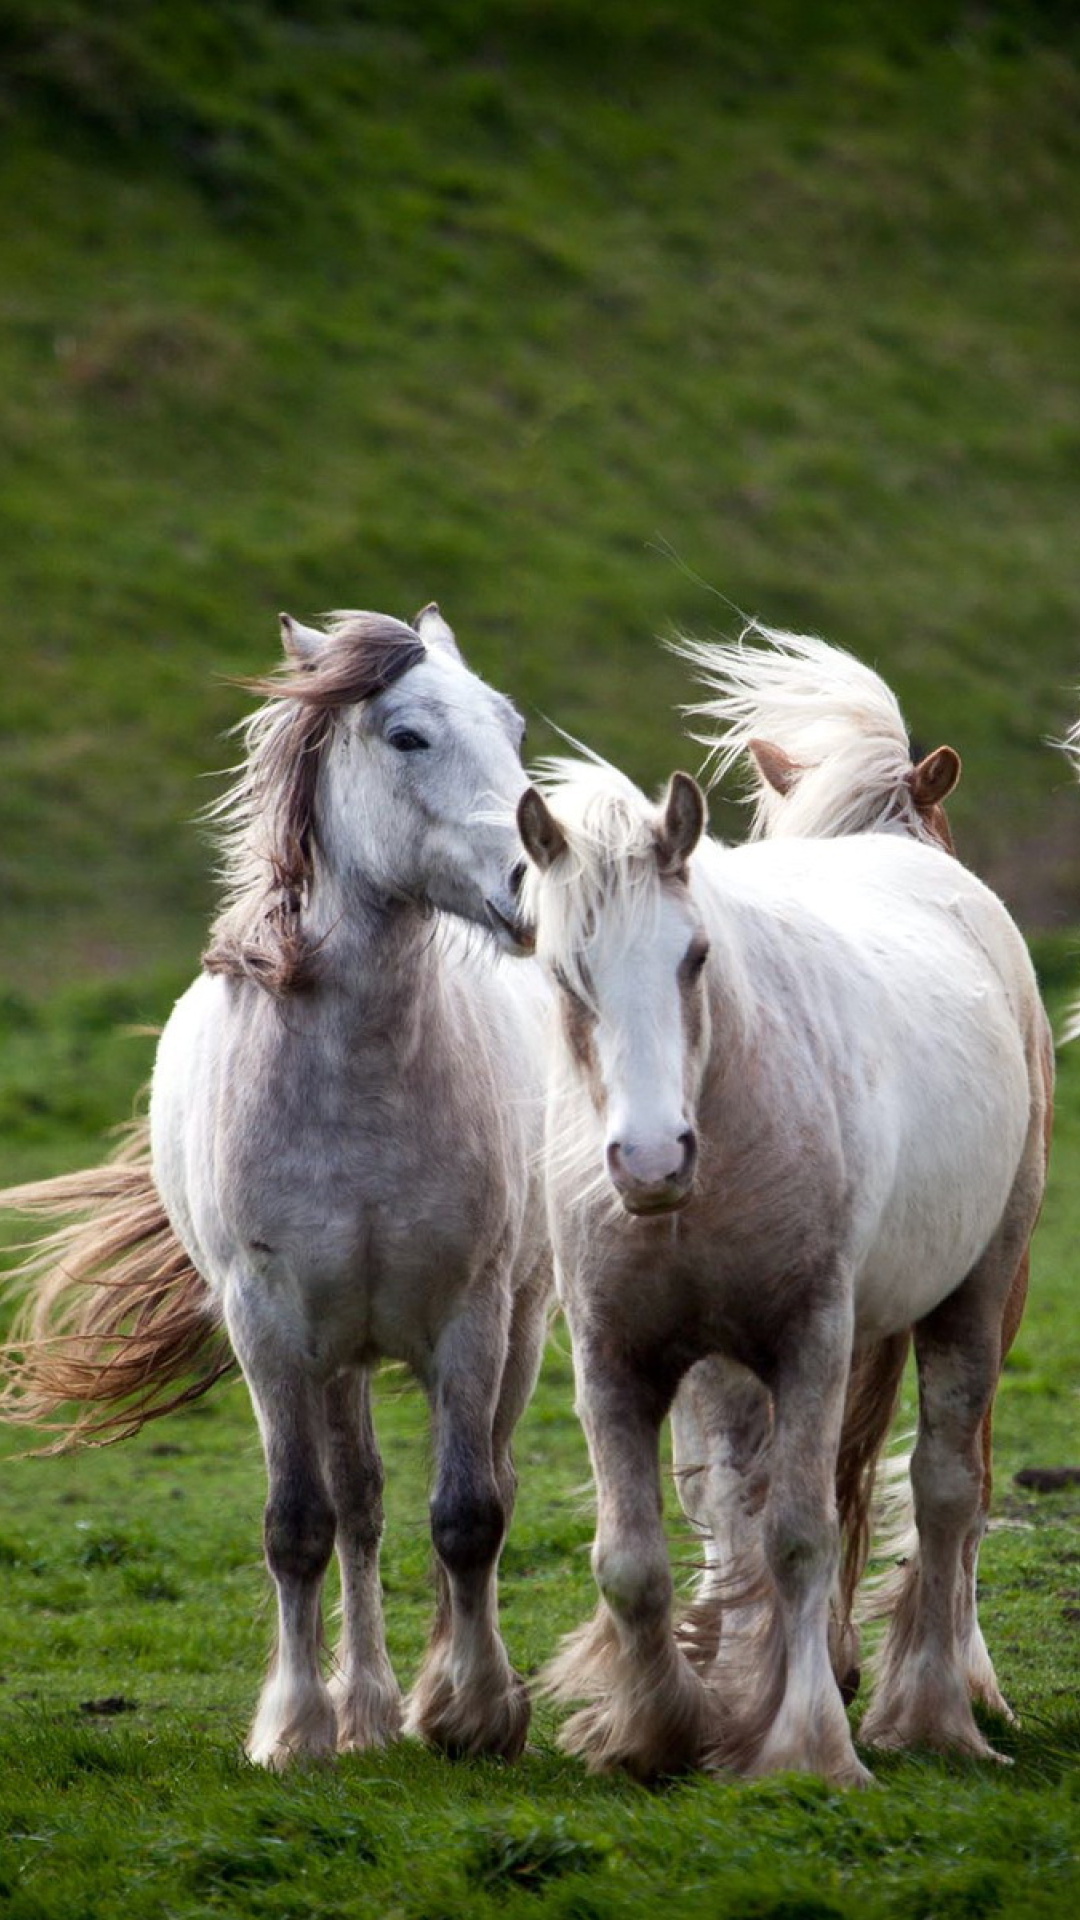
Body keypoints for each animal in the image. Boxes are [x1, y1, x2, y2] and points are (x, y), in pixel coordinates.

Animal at [2, 606, 545, 1774]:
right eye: (406, 736)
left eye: (513, 725)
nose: (536, 884)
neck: (359, 1084)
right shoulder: (268, 1325)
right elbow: (299, 1524)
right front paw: (297, 1729)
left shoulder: (472, 1314)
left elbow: (469, 1513)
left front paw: (476, 1710)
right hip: (335, 1359)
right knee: (360, 1507)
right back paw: (367, 1708)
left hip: (518, 1326)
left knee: (476, 1484)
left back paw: (418, 1696)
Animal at [518, 748, 1045, 1781]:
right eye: (563, 973)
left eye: (694, 957)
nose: (652, 1161)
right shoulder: (614, 1360)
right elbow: (634, 1561)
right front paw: (659, 1731)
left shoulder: (812, 1341)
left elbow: (801, 1535)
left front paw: (808, 1746)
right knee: (735, 1512)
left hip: (977, 1294)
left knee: (946, 1489)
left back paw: (931, 1713)